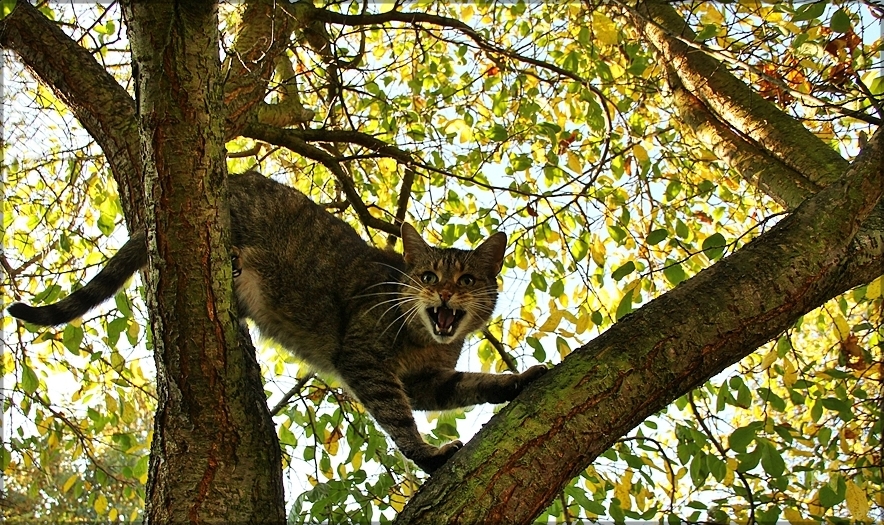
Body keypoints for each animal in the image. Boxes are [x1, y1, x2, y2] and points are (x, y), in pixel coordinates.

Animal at [8, 170, 544, 472]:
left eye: (468, 279)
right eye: (428, 275)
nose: (445, 292)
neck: (426, 339)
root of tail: (234, 178)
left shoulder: (428, 381)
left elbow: (472, 383)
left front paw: (518, 380)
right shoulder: (367, 361)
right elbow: (397, 418)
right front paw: (427, 455)